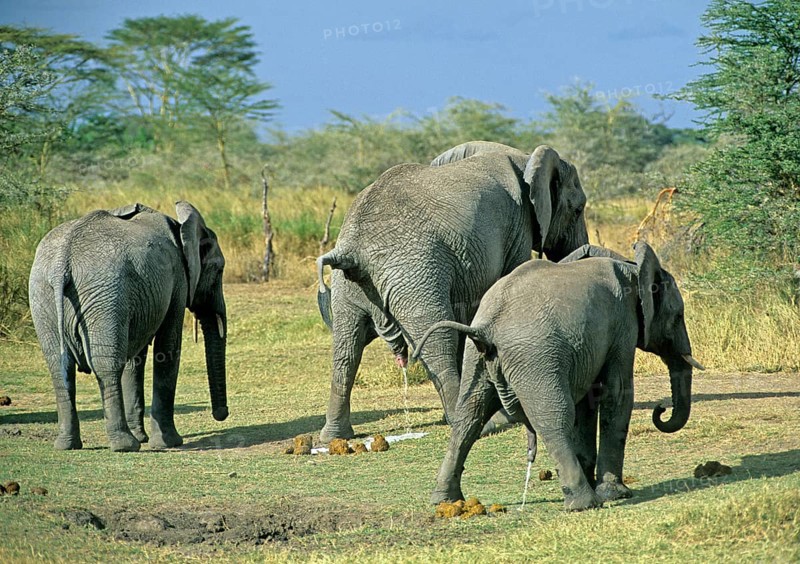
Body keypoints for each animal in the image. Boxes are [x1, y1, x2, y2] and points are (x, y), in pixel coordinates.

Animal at [28, 202, 229, 452]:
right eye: (219, 270)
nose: (221, 414)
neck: (181, 227)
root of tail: (61, 264)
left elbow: (135, 357)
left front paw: (145, 438)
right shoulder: (178, 279)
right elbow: (168, 349)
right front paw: (168, 443)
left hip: (43, 296)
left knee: (58, 366)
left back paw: (67, 445)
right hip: (104, 297)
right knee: (107, 366)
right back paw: (125, 445)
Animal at [315, 141, 589, 442]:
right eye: (578, 209)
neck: (526, 157)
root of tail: (350, 249)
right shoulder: (518, 225)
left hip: (349, 287)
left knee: (346, 348)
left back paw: (335, 437)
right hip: (413, 274)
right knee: (436, 340)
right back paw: (479, 424)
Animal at [414, 242, 704, 511]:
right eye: (678, 316)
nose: (661, 410)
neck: (631, 266)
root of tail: (485, 328)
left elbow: (589, 401)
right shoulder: (623, 325)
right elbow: (616, 393)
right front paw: (616, 494)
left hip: (478, 360)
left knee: (469, 418)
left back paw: (444, 501)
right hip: (534, 358)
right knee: (554, 417)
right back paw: (585, 503)